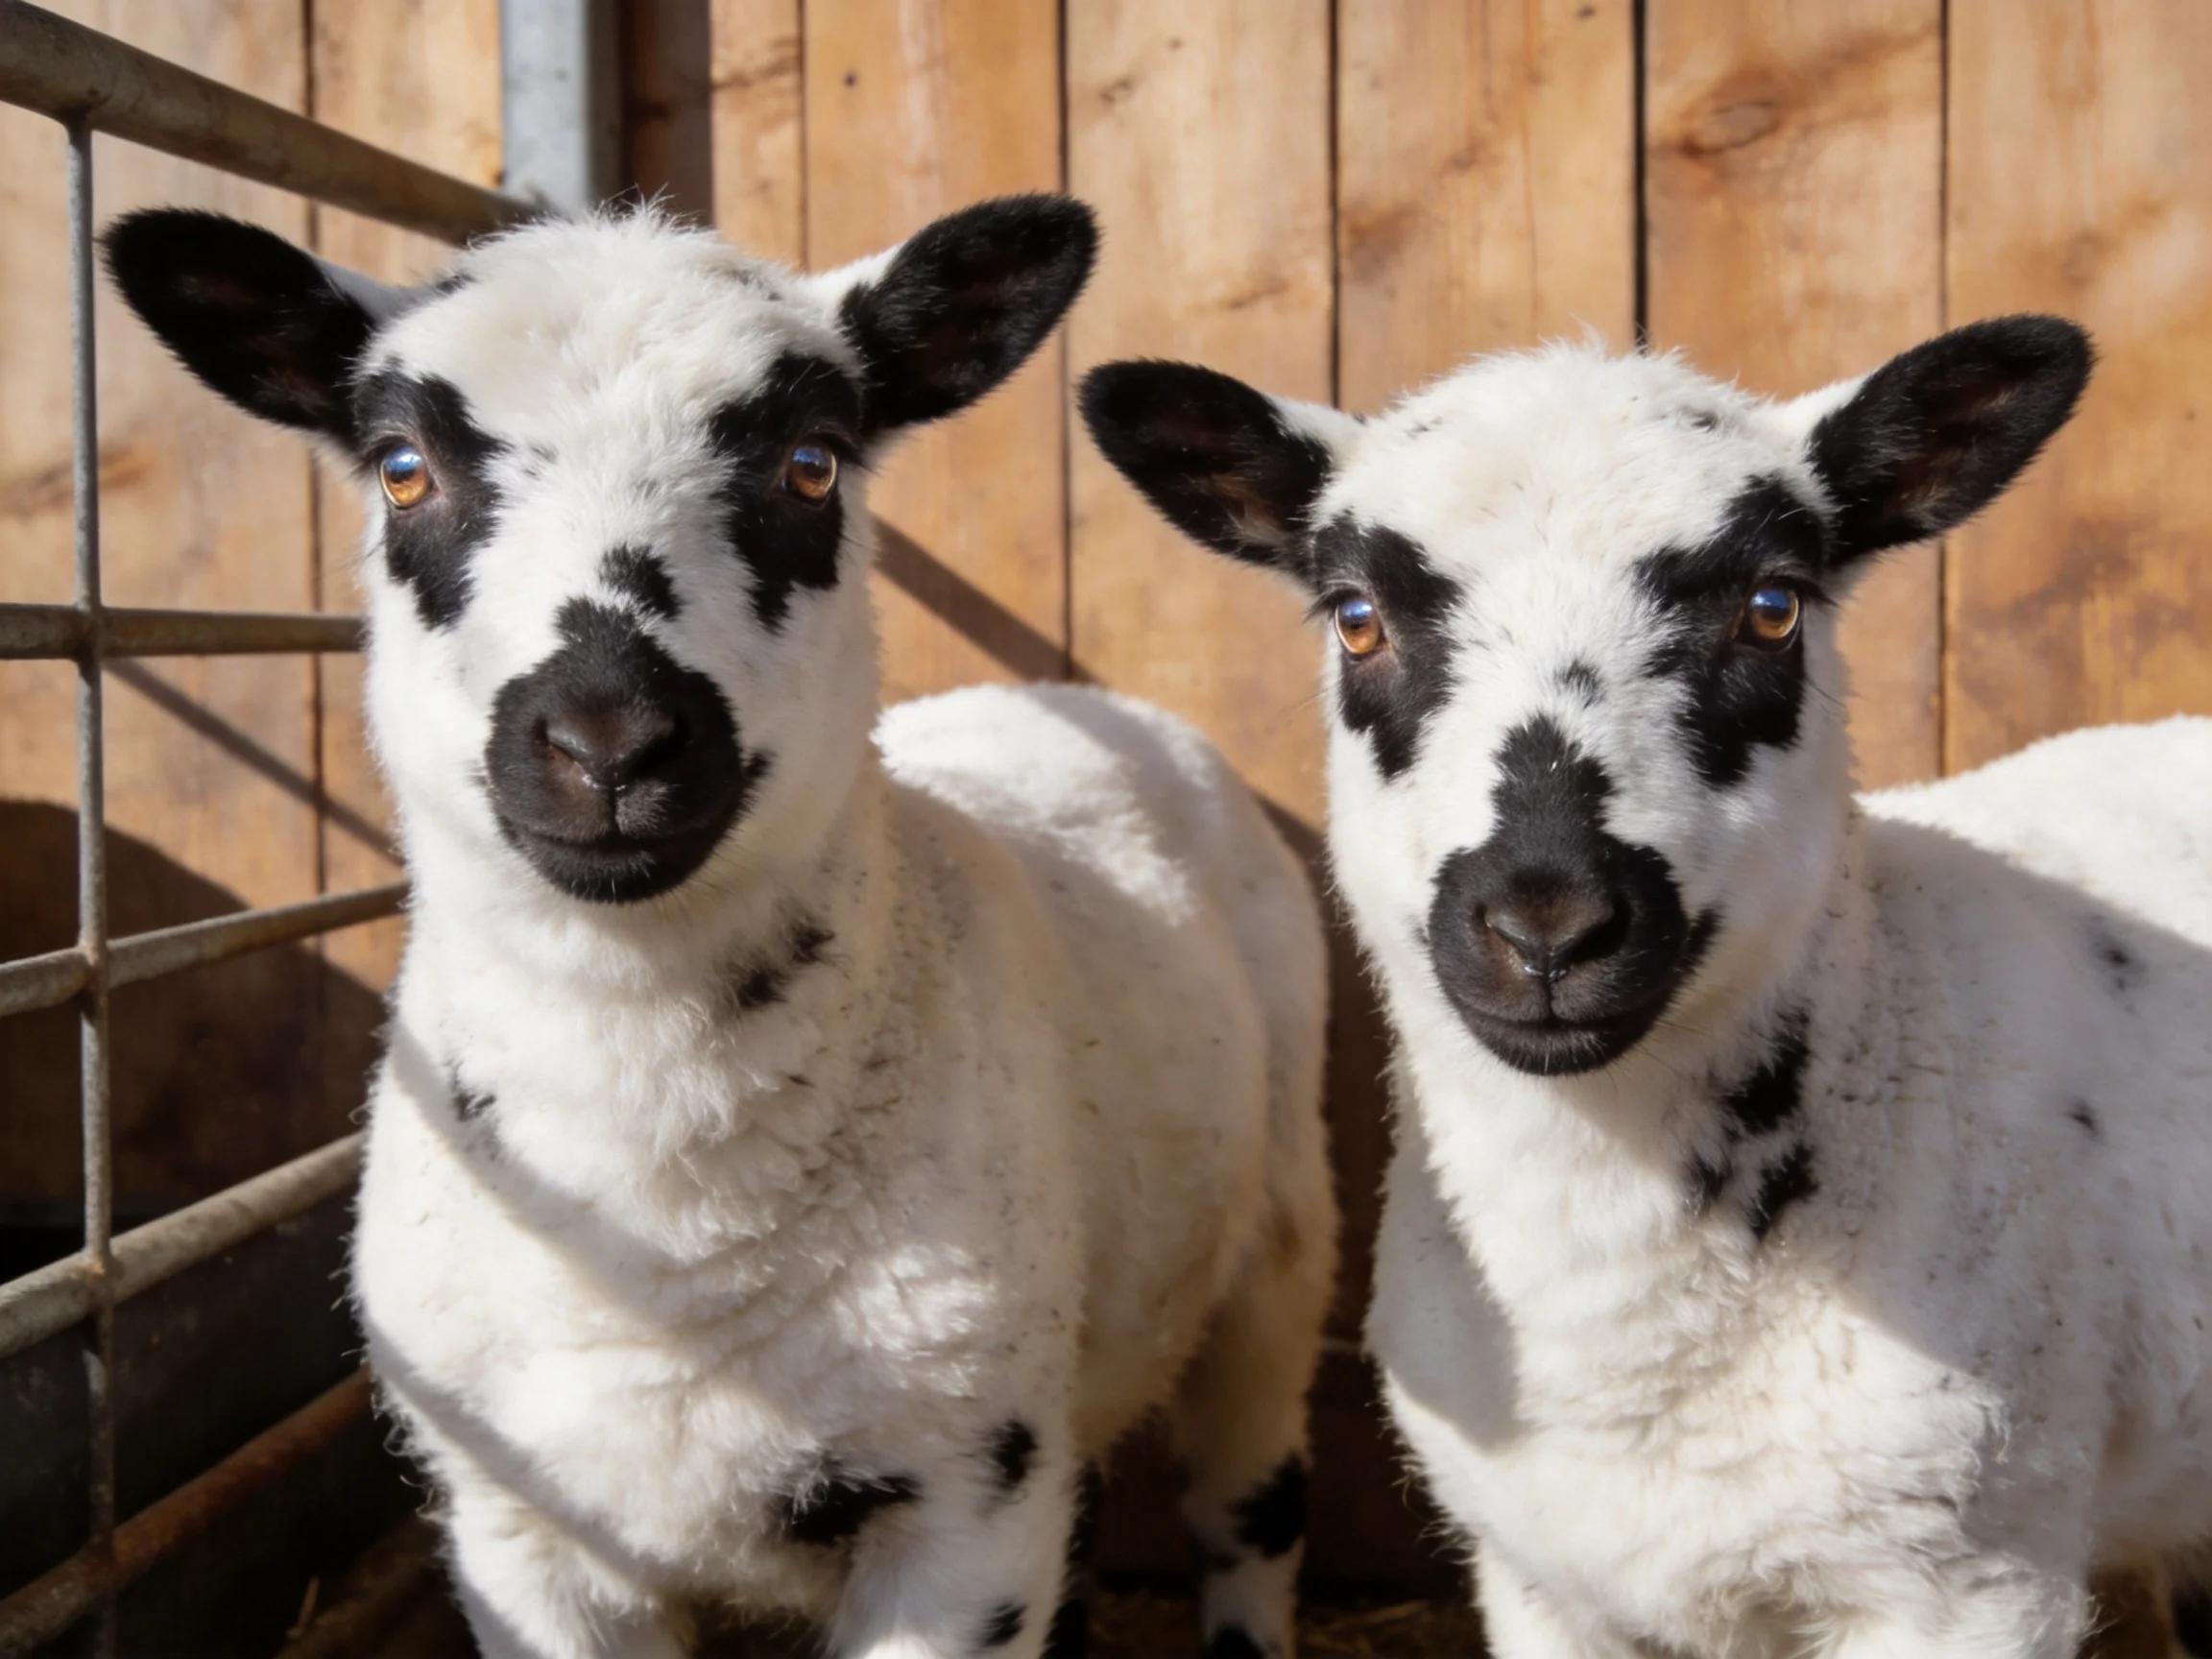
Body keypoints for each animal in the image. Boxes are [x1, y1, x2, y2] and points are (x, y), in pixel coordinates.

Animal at [104, 199, 1336, 1659]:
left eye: (811, 465)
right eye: (402, 471)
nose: (609, 740)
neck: (661, 1234)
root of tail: (1064, 696)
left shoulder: (962, 1504)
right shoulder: (522, 1535)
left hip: (1275, 1243)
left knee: (1251, 1507)